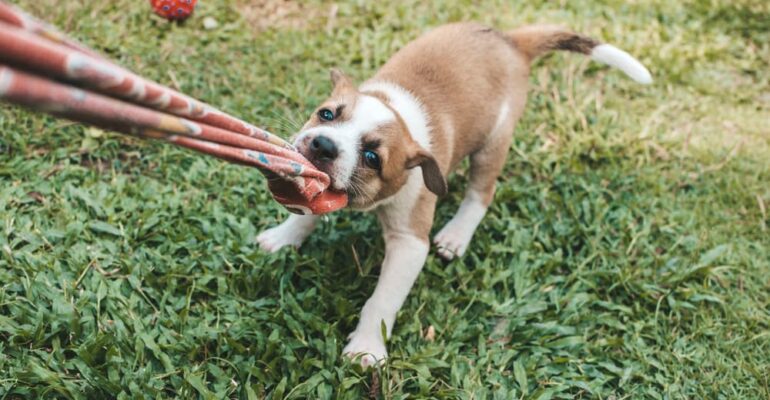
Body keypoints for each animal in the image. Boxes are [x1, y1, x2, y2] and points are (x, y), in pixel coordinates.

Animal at [256, 22, 648, 366]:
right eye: (326, 114)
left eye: (371, 158)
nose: (323, 145)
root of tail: (510, 41)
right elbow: (305, 212)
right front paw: (285, 236)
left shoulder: (410, 243)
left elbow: (382, 301)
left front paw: (367, 347)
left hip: (492, 145)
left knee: (481, 193)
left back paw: (458, 234)